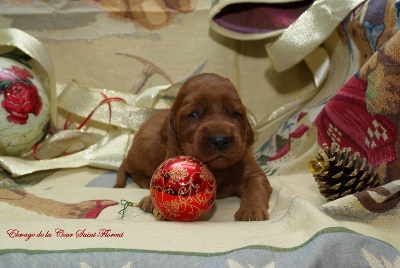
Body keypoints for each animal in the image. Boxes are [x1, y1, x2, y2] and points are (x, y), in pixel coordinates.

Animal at [115, 73, 272, 220]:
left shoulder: (254, 173)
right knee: (132, 169)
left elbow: (255, 189)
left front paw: (251, 210)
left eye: (236, 114)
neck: (217, 170)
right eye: (193, 114)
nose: (220, 139)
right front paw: (152, 200)